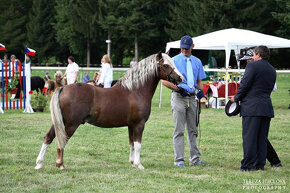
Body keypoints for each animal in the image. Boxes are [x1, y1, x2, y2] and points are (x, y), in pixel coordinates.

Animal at [35, 52, 182, 169]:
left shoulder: (131, 125)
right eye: (166, 65)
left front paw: (132, 163)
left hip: (60, 122)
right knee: (61, 140)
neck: (135, 90)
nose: (180, 78)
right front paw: (139, 164)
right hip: (70, 124)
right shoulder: (139, 124)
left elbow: (132, 144)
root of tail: (63, 88)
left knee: (48, 137)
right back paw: (60, 164)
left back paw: (39, 163)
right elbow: (138, 144)